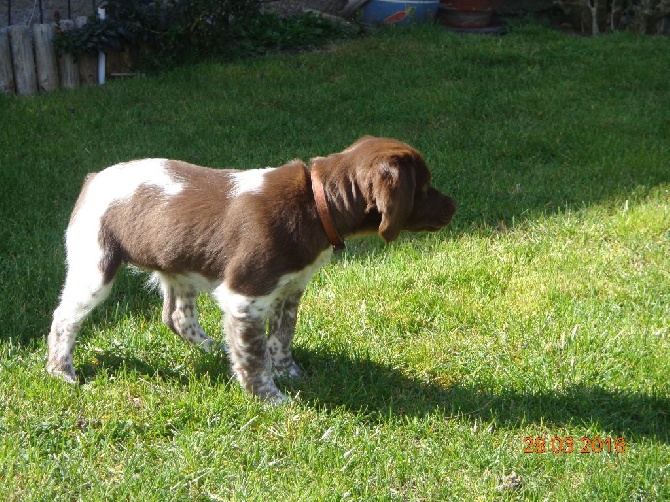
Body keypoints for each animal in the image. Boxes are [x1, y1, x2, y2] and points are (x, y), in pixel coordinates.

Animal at [46, 135, 456, 402]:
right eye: (424, 188)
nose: (454, 206)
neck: (315, 203)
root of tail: (92, 179)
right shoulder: (245, 295)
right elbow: (254, 353)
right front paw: (269, 397)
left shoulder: (290, 289)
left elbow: (281, 338)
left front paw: (290, 374)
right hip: (94, 265)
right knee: (63, 319)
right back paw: (60, 372)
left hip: (180, 265)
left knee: (177, 316)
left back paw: (213, 348)